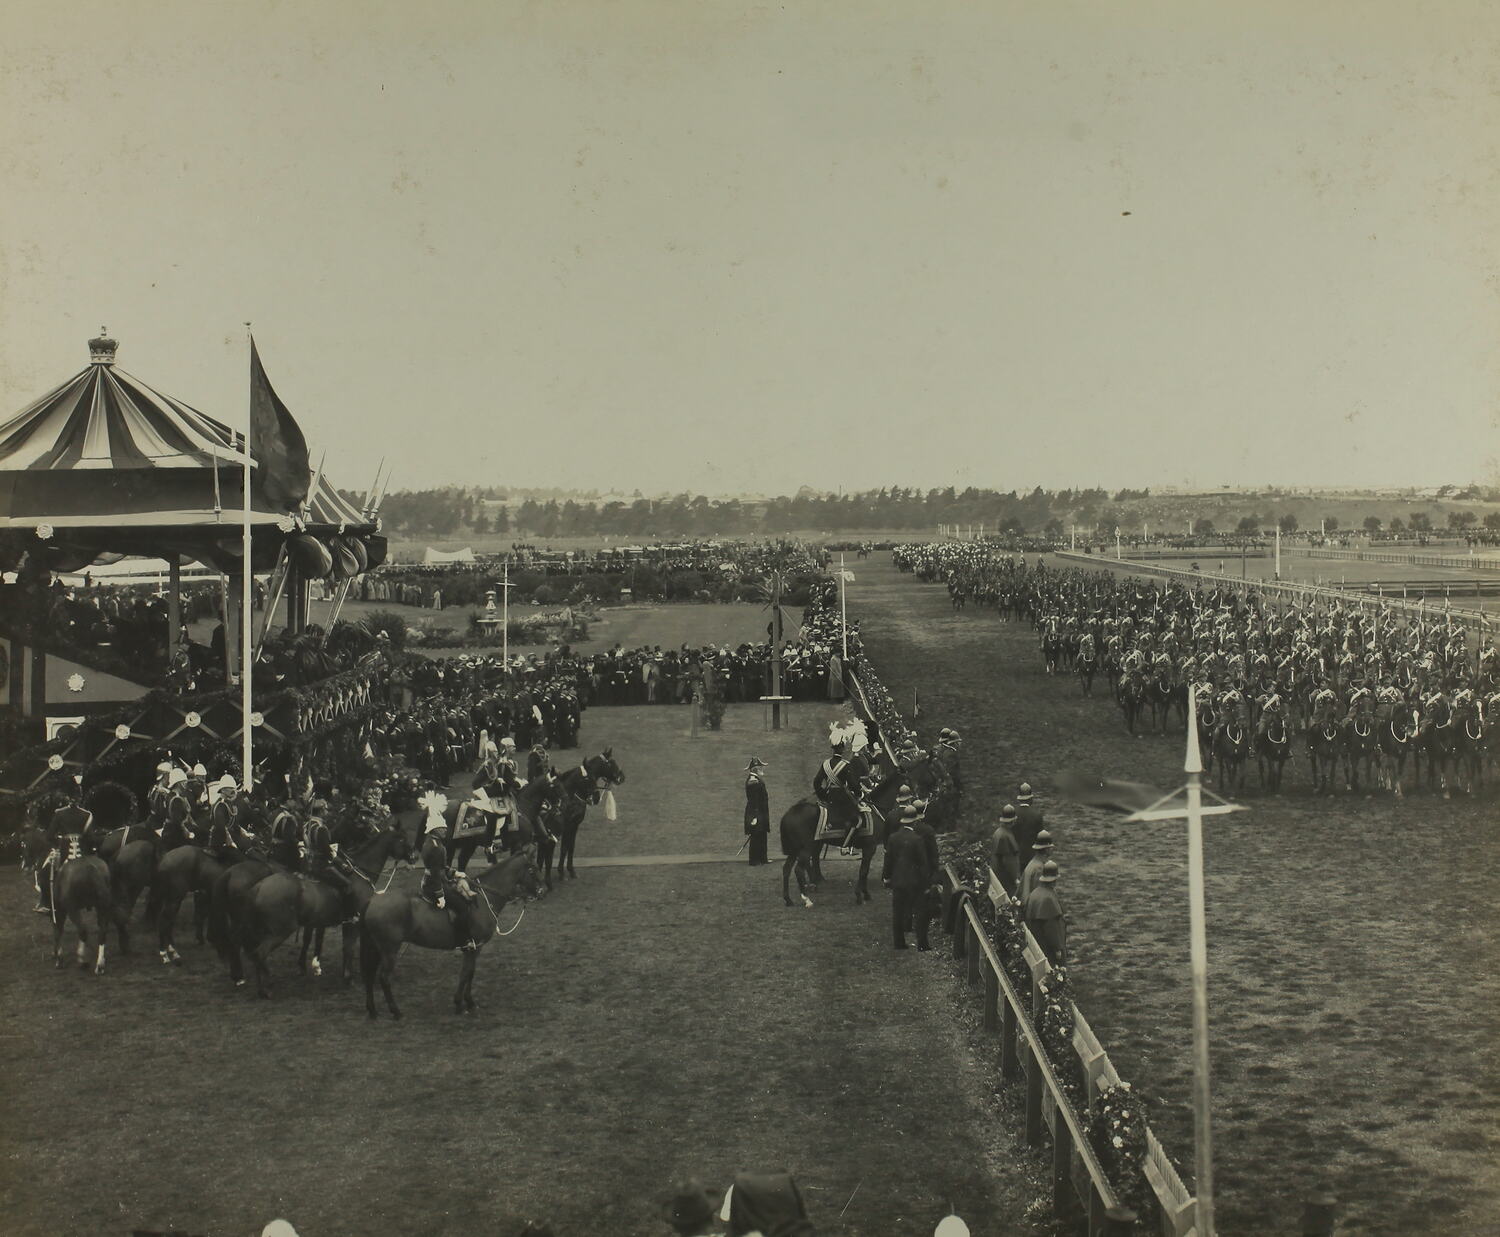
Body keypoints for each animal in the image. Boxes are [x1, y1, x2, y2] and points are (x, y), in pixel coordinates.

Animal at [357, 851, 546, 1013]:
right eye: (532, 869)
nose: (542, 891)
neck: (482, 899)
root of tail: (373, 900)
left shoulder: (474, 948)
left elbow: (470, 972)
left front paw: (467, 1001)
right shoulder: (474, 947)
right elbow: (466, 973)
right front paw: (461, 1002)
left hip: (376, 947)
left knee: (370, 974)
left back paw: (372, 1010)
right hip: (389, 949)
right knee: (383, 978)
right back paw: (395, 1011)